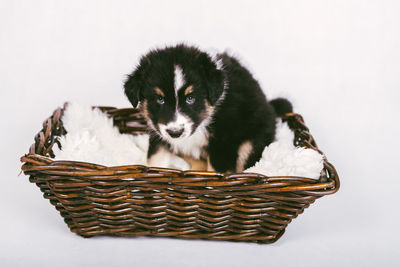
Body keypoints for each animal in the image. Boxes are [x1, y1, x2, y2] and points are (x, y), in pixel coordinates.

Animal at [123, 44, 292, 174]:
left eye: (190, 98)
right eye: (160, 99)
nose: (175, 133)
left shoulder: (223, 142)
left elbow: (216, 172)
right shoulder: (159, 134)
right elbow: (155, 160)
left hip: (251, 141)